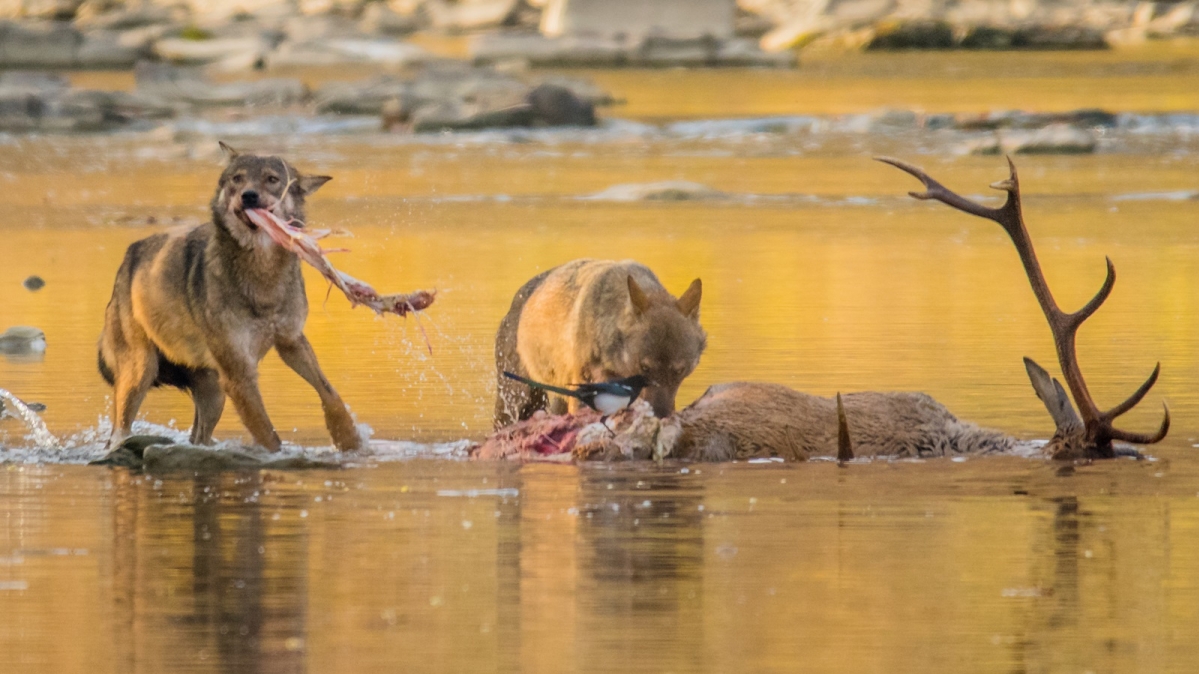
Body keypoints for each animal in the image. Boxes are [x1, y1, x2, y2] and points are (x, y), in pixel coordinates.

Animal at [98, 142, 361, 452]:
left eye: (272, 179)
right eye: (238, 179)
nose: (248, 195)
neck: (263, 278)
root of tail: (128, 257)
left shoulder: (291, 342)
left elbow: (329, 392)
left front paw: (351, 440)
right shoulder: (239, 374)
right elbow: (268, 434)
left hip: (214, 393)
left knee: (198, 437)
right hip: (140, 375)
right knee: (118, 432)